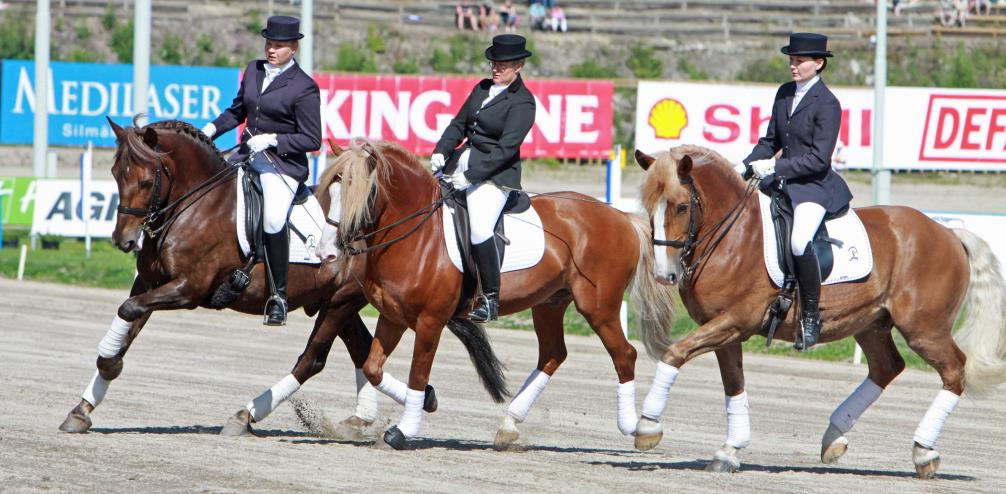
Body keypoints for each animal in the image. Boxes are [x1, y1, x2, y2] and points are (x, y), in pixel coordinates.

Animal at [57, 119, 396, 436]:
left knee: (311, 360)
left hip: (339, 303)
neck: (194, 206)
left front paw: (107, 364)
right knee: (362, 351)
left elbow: (127, 310)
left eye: (146, 181)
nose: (123, 240)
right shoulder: (149, 284)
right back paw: (373, 416)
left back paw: (245, 415)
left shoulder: (187, 289)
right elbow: (128, 322)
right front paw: (83, 406)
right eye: (115, 174)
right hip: (335, 301)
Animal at [313, 138, 676, 452]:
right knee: (553, 355)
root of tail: (622, 217)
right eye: (331, 190)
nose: (326, 252)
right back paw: (509, 426)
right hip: (550, 304)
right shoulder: (393, 316)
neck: (416, 235)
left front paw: (404, 429)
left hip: (599, 307)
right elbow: (373, 369)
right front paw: (429, 399)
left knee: (624, 355)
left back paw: (640, 430)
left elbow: (418, 373)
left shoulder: (430, 322)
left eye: (362, 192)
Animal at [635, 144, 1006, 476]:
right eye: (649, 206)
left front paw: (647, 426)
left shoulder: (735, 321)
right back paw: (834, 439)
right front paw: (729, 451)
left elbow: (674, 354)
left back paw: (924, 452)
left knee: (954, 370)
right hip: (871, 323)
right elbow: (734, 384)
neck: (733, 237)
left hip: (924, 329)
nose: (664, 274)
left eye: (682, 207)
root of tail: (948, 232)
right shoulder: (724, 329)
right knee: (886, 367)